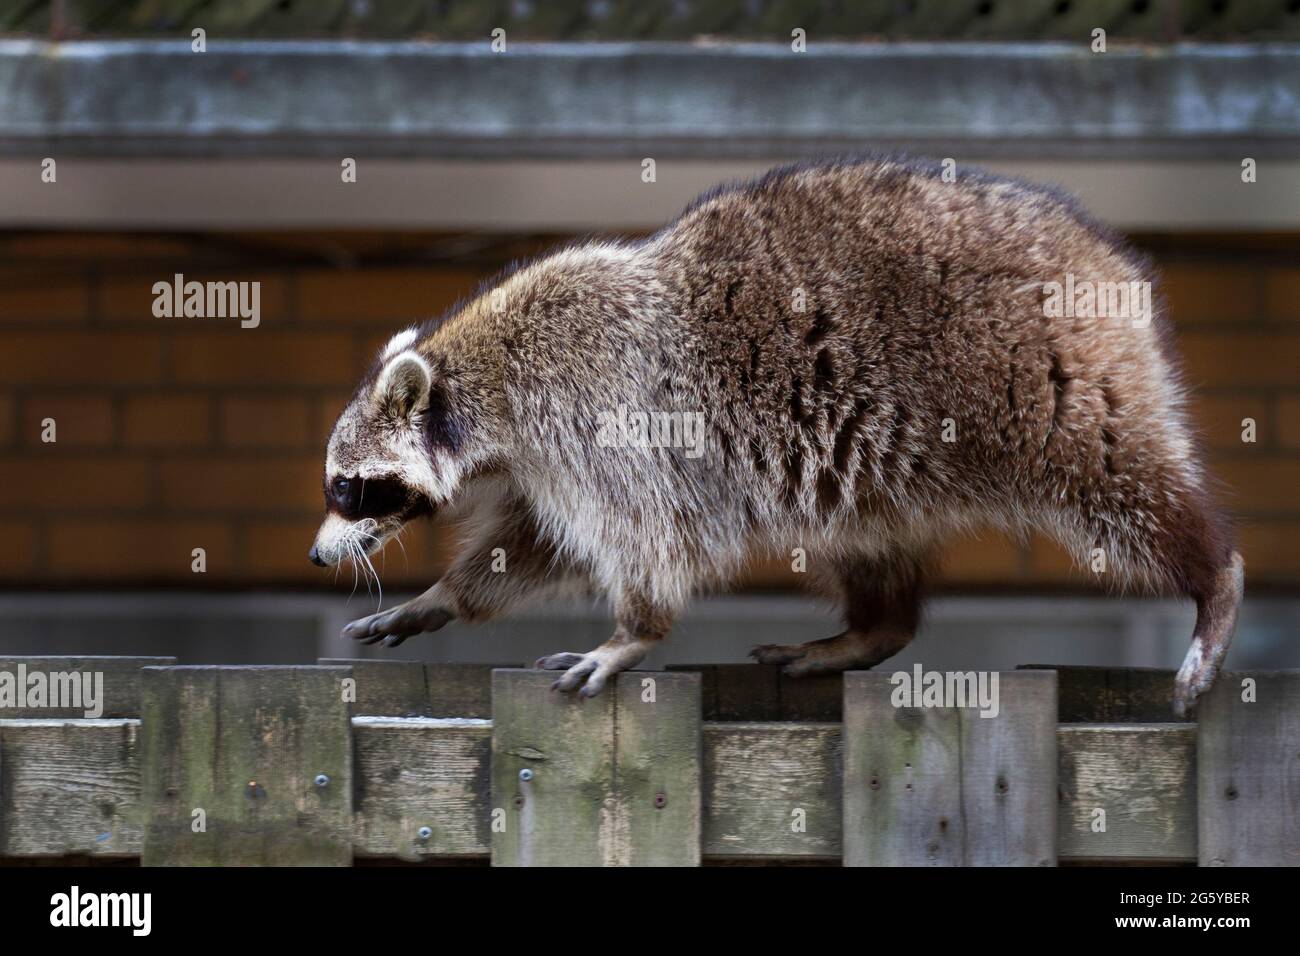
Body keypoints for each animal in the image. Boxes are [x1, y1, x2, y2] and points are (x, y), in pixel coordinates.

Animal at [309, 153, 1242, 712]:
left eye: (350, 487)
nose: (319, 556)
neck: (477, 382)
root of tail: (1105, 260)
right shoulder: (550, 456)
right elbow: (537, 543)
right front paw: (446, 595)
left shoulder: (599, 412)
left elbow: (644, 535)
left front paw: (634, 631)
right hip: (873, 461)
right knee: (864, 534)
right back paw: (873, 627)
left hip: (1054, 388)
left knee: (1121, 484)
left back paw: (1213, 578)